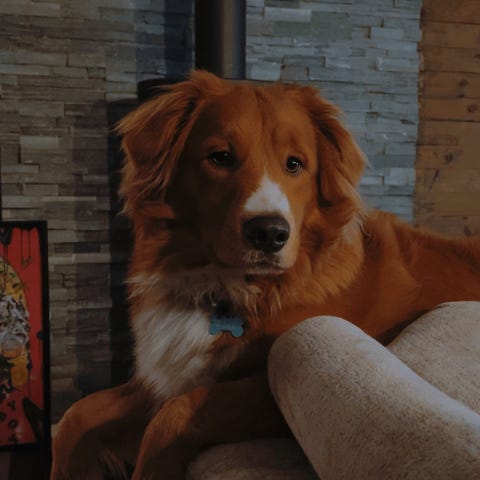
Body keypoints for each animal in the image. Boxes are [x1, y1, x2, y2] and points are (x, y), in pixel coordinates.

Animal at [51, 70, 480, 479]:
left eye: (295, 164)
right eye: (220, 157)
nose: (270, 233)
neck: (228, 288)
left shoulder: (264, 393)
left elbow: (171, 415)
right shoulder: (164, 377)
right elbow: (76, 415)